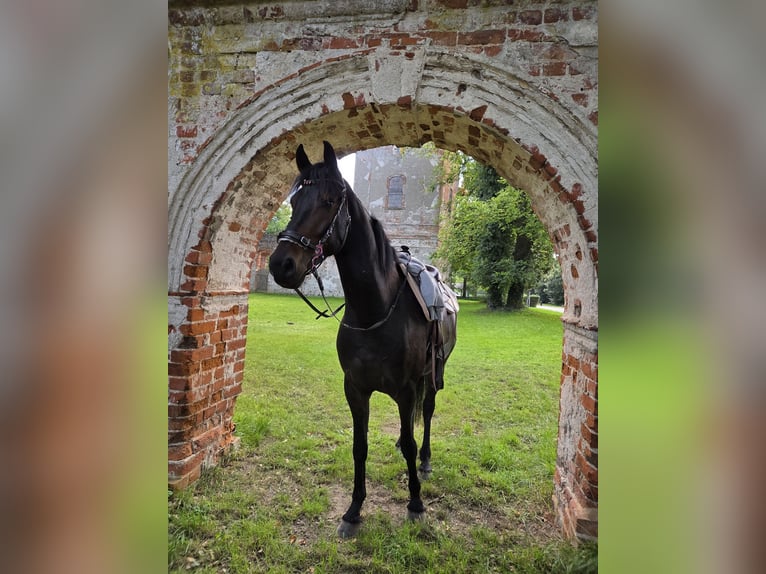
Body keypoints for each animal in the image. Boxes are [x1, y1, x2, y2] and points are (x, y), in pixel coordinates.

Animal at [268, 141, 458, 538]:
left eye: (328, 200)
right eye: (294, 200)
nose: (281, 264)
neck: (376, 310)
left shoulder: (405, 389)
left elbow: (412, 440)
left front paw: (415, 504)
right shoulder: (355, 389)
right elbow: (360, 446)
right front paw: (354, 511)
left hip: (434, 374)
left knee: (428, 413)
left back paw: (426, 461)